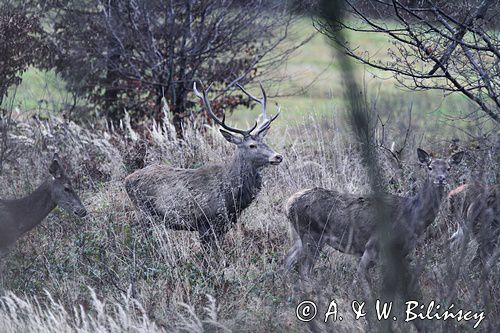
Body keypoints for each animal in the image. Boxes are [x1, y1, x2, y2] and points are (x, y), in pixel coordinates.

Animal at [125, 82, 284, 248]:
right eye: (252, 145)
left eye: (264, 141)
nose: (278, 156)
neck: (230, 195)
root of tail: (127, 180)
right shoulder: (204, 222)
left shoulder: (224, 224)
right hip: (143, 211)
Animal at [286, 148, 464, 278]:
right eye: (430, 167)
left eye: (448, 168)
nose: (440, 178)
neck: (412, 216)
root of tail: (288, 205)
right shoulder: (373, 245)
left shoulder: (402, 252)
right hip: (312, 235)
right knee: (304, 271)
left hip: (301, 237)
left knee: (286, 262)